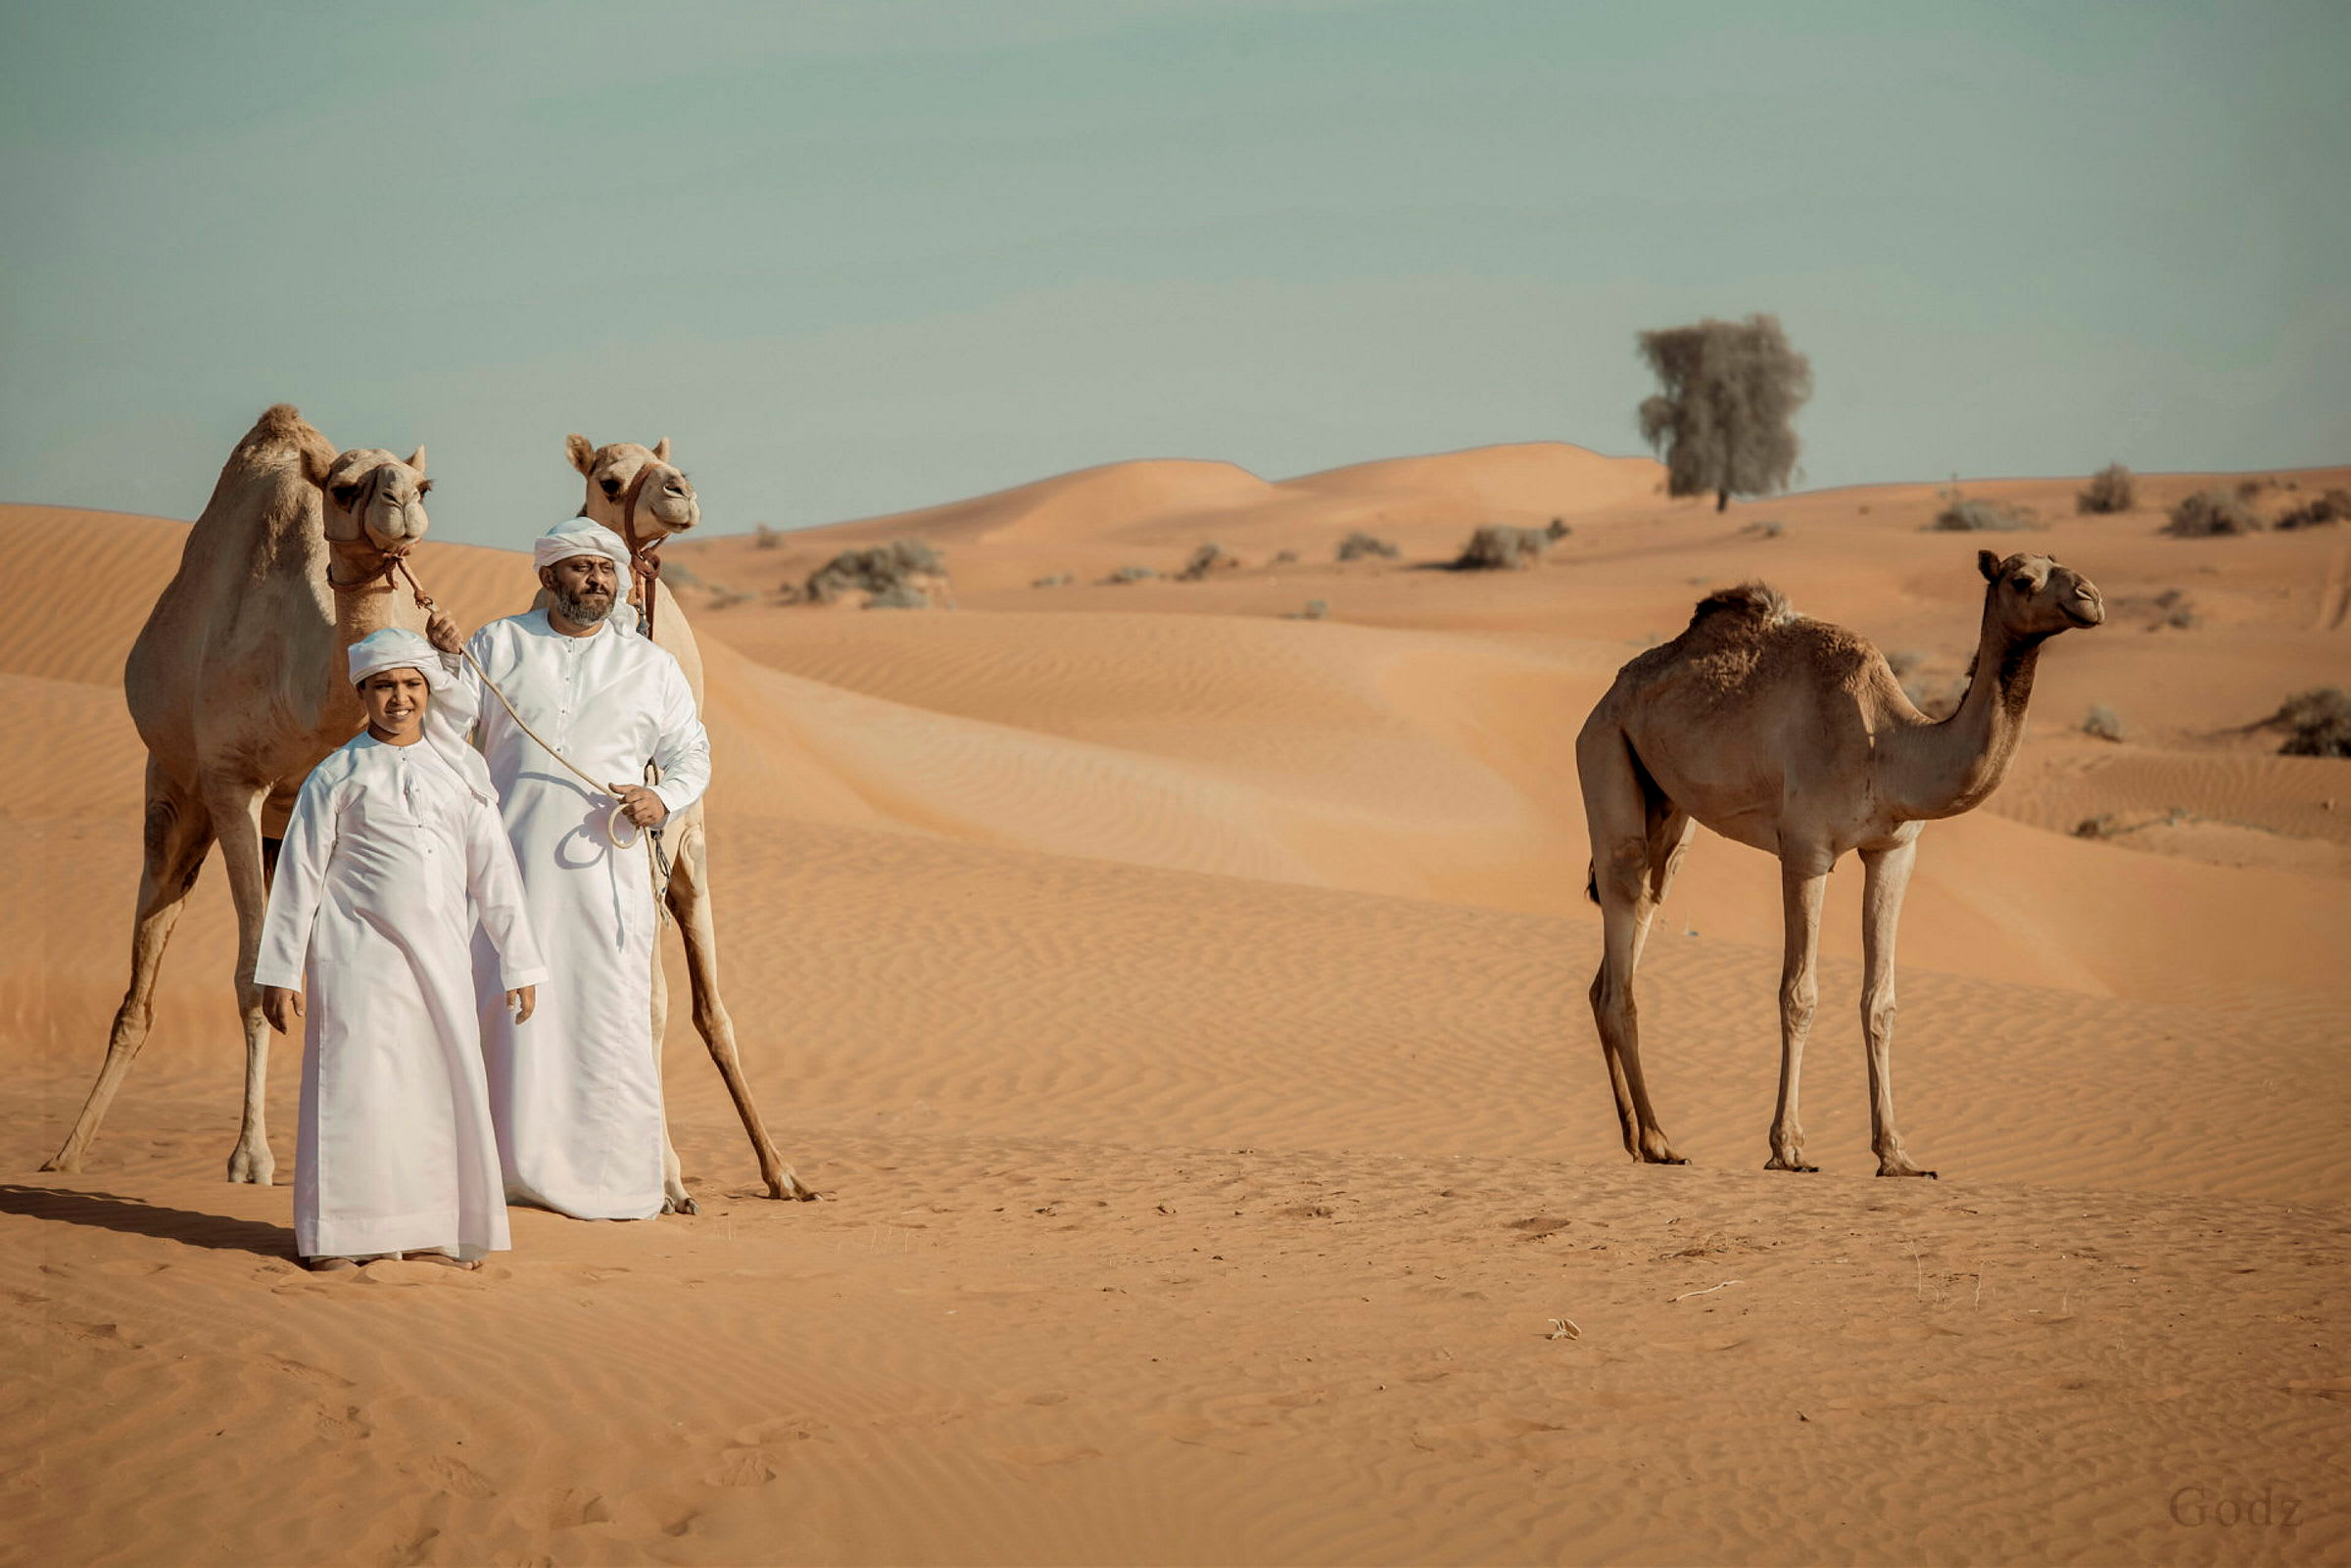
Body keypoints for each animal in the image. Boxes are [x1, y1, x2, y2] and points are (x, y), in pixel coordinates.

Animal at [44, 405, 433, 1182]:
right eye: (343, 487)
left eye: (426, 483)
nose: (403, 501)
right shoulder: (231, 784)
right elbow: (255, 976)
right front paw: (251, 1158)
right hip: (173, 790)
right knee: (143, 968)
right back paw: (68, 1154)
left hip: (277, 829)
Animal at [561, 432, 811, 1205]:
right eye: (609, 481)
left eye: (669, 460)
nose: (680, 490)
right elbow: (650, 1004)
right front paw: (666, 1179)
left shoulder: (685, 850)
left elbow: (710, 1012)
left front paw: (781, 1170)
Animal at [1576, 549, 2105, 1176]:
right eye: (2023, 580)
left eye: (2064, 565)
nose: (2090, 598)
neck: (1890, 748)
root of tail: (1606, 698)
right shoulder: (1806, 850)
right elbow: (1798, 995)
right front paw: (1788, 1148)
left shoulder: (1895, 851)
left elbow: (1881, 1001)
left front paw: (1897, 1154)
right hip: (1604, 748)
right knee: (1622, 910)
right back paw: (1660, 1140)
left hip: (1669, 807)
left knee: (1637, 919)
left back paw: (1638, 1139)